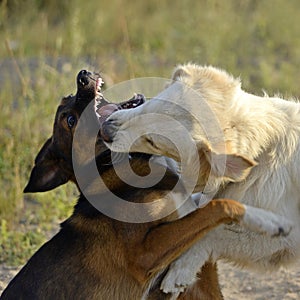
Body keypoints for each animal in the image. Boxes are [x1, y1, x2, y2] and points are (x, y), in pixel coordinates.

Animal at [0, 69, 268, 298]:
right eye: (70, 120)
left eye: (68, 98)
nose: (82, 75)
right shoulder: (145, 253)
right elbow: (219, 205)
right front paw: (265, 219)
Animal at [100, 63, 298, 292]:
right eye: (151, 104)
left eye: (152, 142)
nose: (104, 130)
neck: (261, 151)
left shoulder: (289, 239)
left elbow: (214, 231)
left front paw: (180, 272)